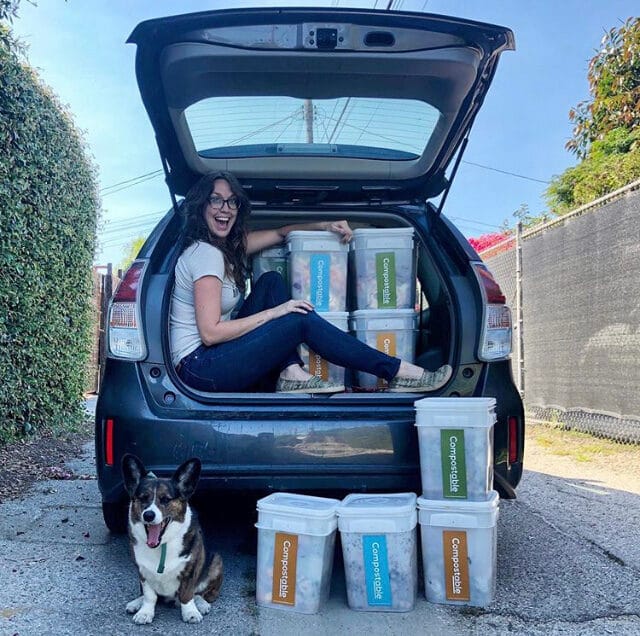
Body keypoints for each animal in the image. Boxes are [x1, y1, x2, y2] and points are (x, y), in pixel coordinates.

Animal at [121, 454, 224, 624]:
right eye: (143, 498)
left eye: (165, 499)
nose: (148, 515)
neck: (162, 545)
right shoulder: (143, 572)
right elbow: (149, 596)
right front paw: (145, 612)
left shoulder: (190, 570)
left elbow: (187, 594)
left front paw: (190, 613)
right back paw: (136, 603)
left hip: (216, 561)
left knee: (203, 594)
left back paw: (201, 604)